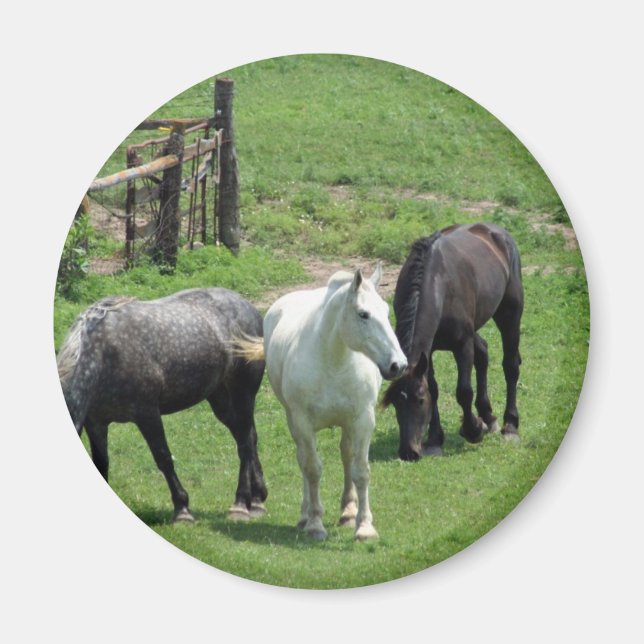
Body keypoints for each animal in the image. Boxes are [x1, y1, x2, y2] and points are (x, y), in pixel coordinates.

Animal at [57, 287, 268, 522]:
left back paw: (241, 504)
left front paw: (182, 510)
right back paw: (257, 499)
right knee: (248, 436)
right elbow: (101, 463)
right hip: (220, 399)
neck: (102, 353)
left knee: (245, 443)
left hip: (243, 393)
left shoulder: (147, 413)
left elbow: (163, 457)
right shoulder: (96, 423)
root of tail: (249, 307)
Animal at [235, 263, 407, 541]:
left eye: (386, 310)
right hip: (294, 422)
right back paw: (305, 516)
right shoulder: (303, 422)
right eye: (363, 314)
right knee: (303, 460)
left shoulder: (362, 420)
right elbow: (313, 469)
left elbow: (361, 471)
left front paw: (364, 527)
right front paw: (315, 524)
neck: (333, 362)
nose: (398, 365)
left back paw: (348, 512)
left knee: (346, 457)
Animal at [383, 222, 524, 461]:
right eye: (395, 403)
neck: (438, 283)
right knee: (483, 352)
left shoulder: (462, 345)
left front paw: (473, 430)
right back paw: (489, 417)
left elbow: (463, 391)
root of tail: (496, 232)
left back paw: (510, 425)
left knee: (510, 366)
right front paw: (434, 440)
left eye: (420, 400)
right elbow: (434, 387)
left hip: (510, 314)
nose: (408, 452)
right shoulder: (428, 352)